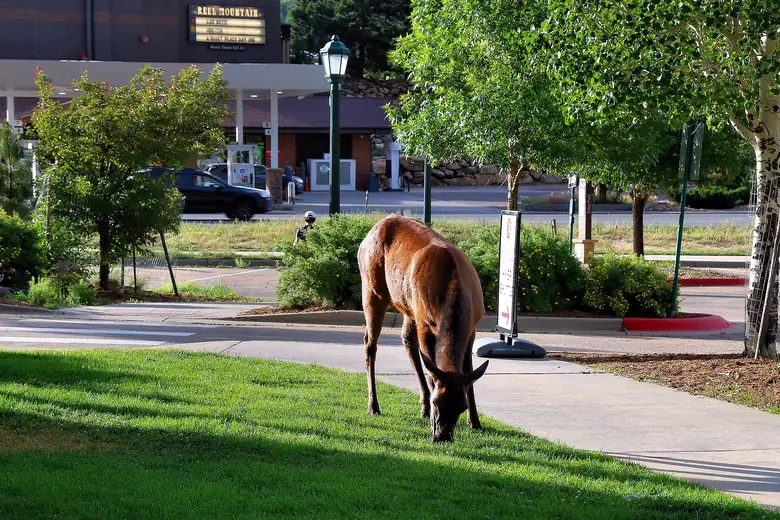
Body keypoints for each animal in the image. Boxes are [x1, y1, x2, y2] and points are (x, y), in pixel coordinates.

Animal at [357, 215, 489, 443]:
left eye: (461, 407)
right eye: (438, 402)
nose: (442, 437)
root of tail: (372, 230)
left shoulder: (472, 327)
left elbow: (469, 375)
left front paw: (475, 422)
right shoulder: (425, 324)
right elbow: (432, 371)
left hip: (409, 306)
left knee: (406, 340)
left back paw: (421, 406)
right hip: (373, 289)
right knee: (370, 343)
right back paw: (374, 406)